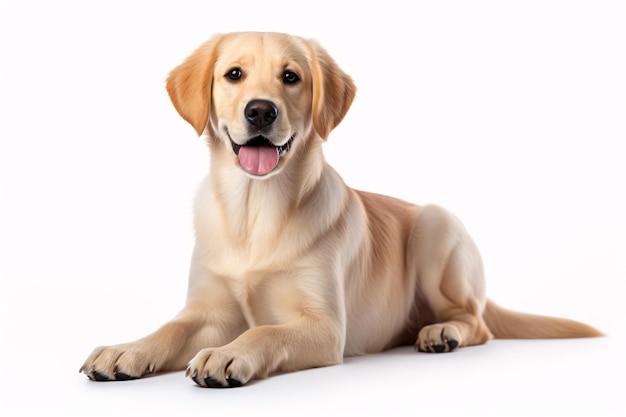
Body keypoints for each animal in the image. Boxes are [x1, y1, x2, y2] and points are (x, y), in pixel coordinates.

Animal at [78, 32, 600, 386]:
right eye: (234, 74)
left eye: (291, 77)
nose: (261, 111)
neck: (254, 212)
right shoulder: (205, 311)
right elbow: (168, 328)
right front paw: (125, 350)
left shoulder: (325, 327)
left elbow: (261, 334)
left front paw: (225, 355)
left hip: (436, 226)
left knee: (478, 323)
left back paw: (440, 331)